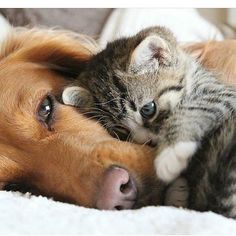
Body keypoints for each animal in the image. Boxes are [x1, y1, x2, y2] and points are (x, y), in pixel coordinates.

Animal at [63, 27, 236, 218]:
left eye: (147, 109)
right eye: (121, 129)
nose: (147, 141)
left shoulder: (223, 94)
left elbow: (196, 106)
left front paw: (172, 152)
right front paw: (177, 191)